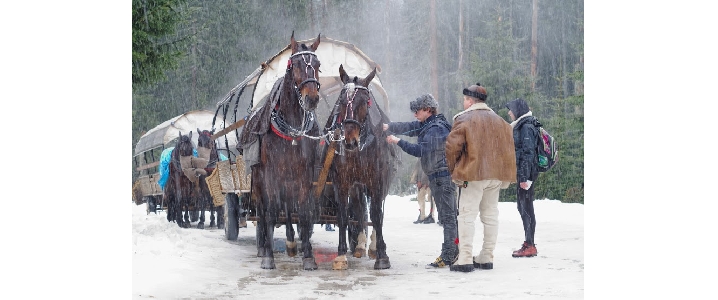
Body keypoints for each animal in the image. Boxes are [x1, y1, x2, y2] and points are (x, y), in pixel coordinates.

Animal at [239, 32, 324, 270]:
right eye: (295, 65)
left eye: (318, 65)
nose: (312, 98)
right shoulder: (270, 176)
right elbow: (270, 212)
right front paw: (268, 256)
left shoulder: (304, 175)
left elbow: (303, 212)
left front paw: (308, 256)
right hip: (259, 180)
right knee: (263, 210)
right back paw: (263, 246)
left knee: (287, 207)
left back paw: (291, 243)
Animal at [326, 64, 400, 270]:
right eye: (341, 101)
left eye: (365, 102)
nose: (350, 141)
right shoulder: (342, 182)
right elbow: (344, 214)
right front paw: (341, 254)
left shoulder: (378, 180)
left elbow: (376, 214)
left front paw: (382, 255)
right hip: (357, 185)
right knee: (359, 209)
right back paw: (359, 244)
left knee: (377, 211)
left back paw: (373, 246)